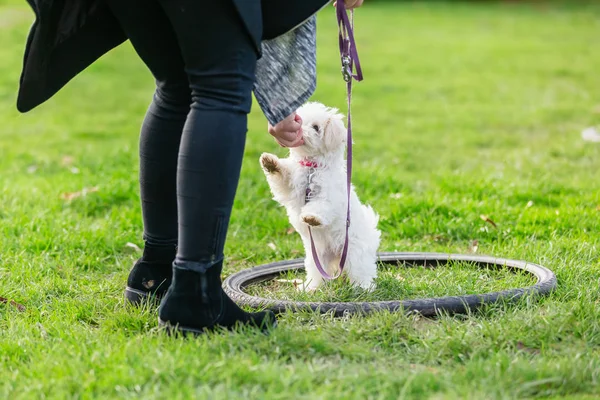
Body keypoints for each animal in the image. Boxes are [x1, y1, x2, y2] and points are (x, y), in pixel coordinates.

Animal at [258, 101, 380, 292]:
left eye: (315, 127)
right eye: (299, 121)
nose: (299, 131)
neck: (311, 167)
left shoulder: (329, 196)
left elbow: (320, 206)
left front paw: (311, 217)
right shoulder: (291, 185)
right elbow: (283, 177)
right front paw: (270, 162)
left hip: (355, 253)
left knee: (362, 272)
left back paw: (363, 288)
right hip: (318, 257)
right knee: (318, 274)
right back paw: (310, 288)